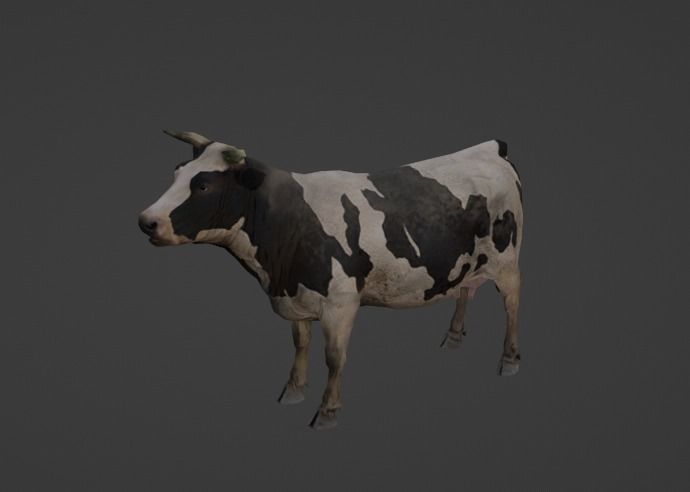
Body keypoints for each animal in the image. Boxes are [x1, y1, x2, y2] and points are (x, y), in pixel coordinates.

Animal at [138, 130, 523, 429]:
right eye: (177, 172)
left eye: (203, 185)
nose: (146, 221)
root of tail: (490, 147)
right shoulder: (297, 297)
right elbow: (300, 344)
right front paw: (293, 391)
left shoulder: (340, 303)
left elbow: (335, 357)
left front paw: (327, 412)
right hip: (468, 261)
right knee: (465, 290)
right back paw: (454, 338)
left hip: (507, 263)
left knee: (512, 305)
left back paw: (509, 360)